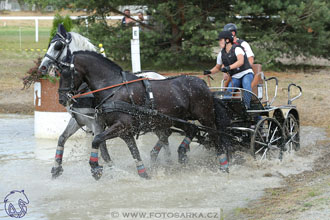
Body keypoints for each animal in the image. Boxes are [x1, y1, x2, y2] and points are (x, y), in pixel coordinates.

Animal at [51, 50, 229, 180]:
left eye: (67, 73)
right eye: (59, 72)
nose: (61, 98)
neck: (112, 88)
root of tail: (202, 83)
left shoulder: (119, 126)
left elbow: (97, 140)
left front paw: (95, 167)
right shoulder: (123, 130)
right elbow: (132, 151)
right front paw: (143, 173)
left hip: (205, 117)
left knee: (215, 136)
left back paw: (224, 165)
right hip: (175, 119)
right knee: (190, 130)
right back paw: (181, 153)